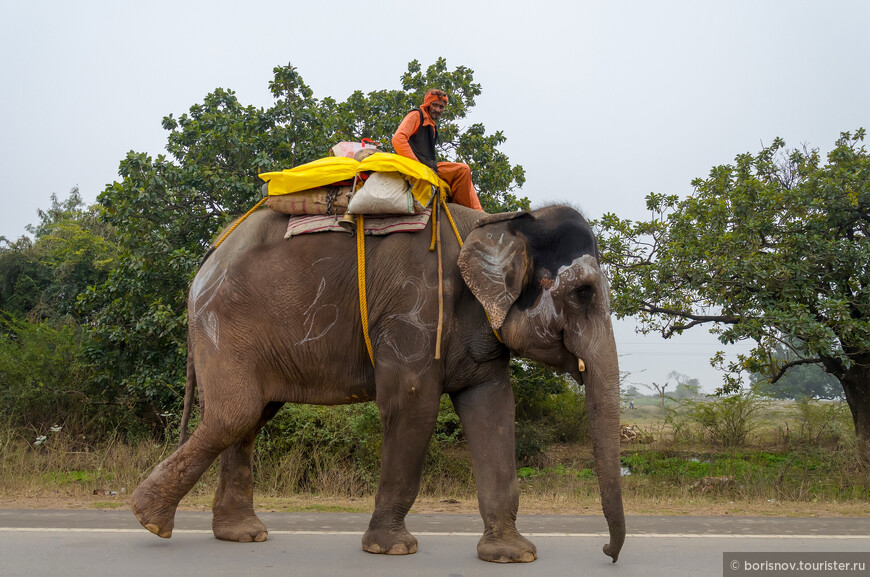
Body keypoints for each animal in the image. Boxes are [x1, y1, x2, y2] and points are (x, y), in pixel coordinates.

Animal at [131, 201, 628, 564]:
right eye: (583, 293)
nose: (606, 551)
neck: (497, 222)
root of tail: (207, 258)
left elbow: (494, 410)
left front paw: (512, 556)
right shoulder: (417, 308)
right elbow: (413, 404)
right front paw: (392, 550)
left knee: (250, 418)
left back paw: (240, 535)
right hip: (226, 326)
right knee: (234, 414)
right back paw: (150, 521)